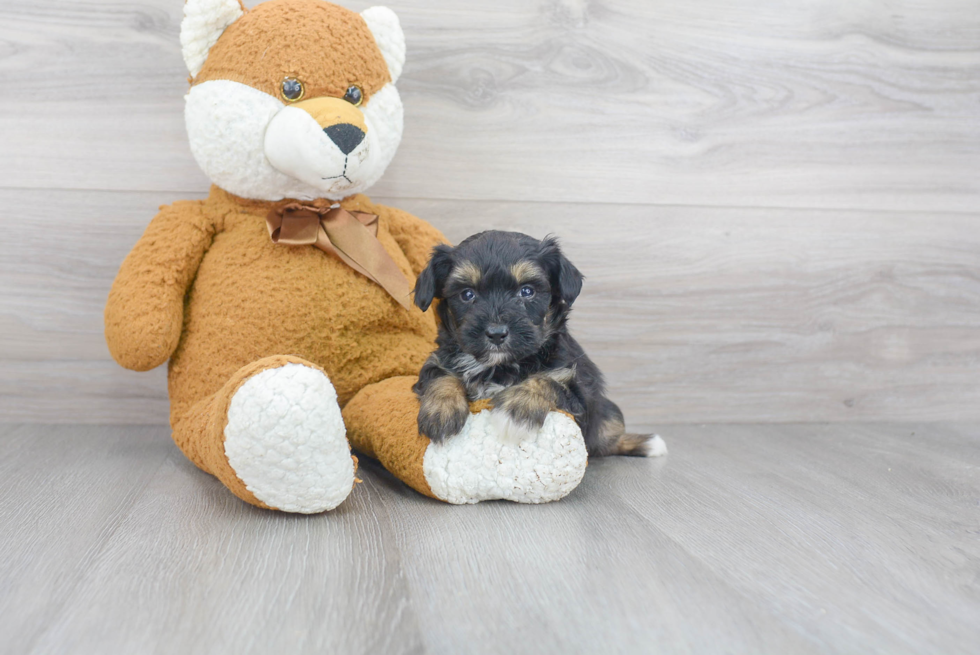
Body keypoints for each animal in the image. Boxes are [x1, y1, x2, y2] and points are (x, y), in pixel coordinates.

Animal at [412, 229, 660, 456]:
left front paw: (518, 410)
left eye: (527, 291)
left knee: (609, 437)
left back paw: (647, 444)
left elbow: (548, 380)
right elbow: (441, 375)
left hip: (607, 411)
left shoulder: (580, 397)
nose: (496, 333)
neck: (499, 366)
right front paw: (441, 411)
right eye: (467, 294)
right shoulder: (438, 359)